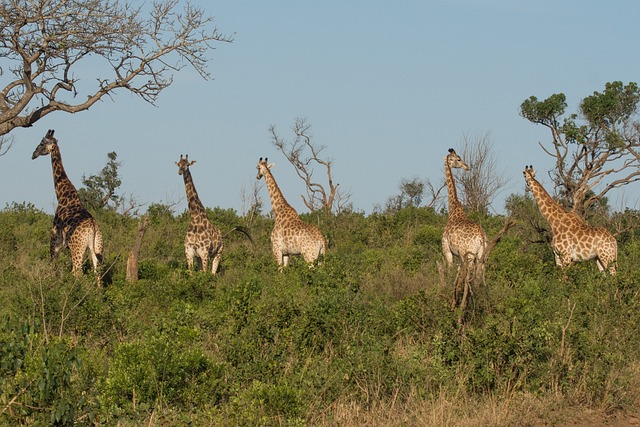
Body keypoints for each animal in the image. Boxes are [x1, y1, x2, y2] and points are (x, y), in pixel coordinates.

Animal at [31, 129, 103, 282]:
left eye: (41, 143)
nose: (33, 154)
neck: (63, 195)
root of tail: (93, 228)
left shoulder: (55, 240)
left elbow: (52, 264)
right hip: (97, 247)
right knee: (97, 271)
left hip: (77, 248)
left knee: (77, 272)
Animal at [442, 148, 488, 310]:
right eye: (458, 159)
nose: (467, 167)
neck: (453, 208)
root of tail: (481, 236)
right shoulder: (458, 255)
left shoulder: (447, 250)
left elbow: (450, 271)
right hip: (481, 256)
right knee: (479, 276)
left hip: (468, 255)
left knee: (469, 277)